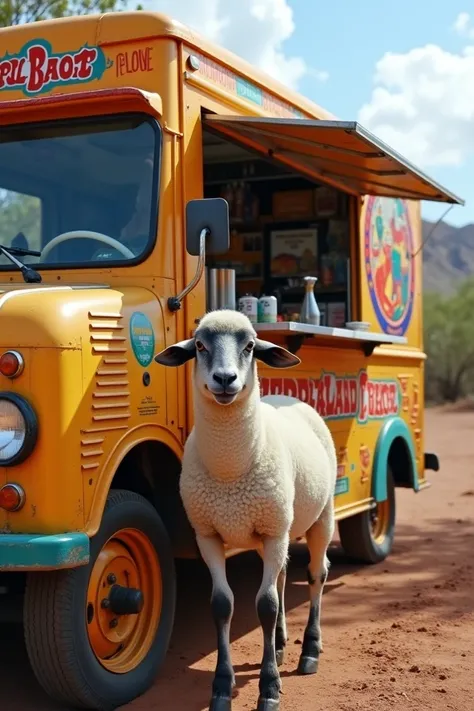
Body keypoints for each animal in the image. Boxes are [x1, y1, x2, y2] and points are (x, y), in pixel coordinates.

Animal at [156, 310, 336, 711]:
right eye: (200, 345)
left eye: (250, 346)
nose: (225, 379)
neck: (230, 468)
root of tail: (287, 397)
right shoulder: (208, 534)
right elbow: (222, 605)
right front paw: (222, 687)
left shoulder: (272, 531)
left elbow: (265, 605)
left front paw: (269, 689)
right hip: (279, 528)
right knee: (282, 577)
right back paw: (281, 644)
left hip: (320, 516)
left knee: (316, 576)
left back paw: (310, 651)